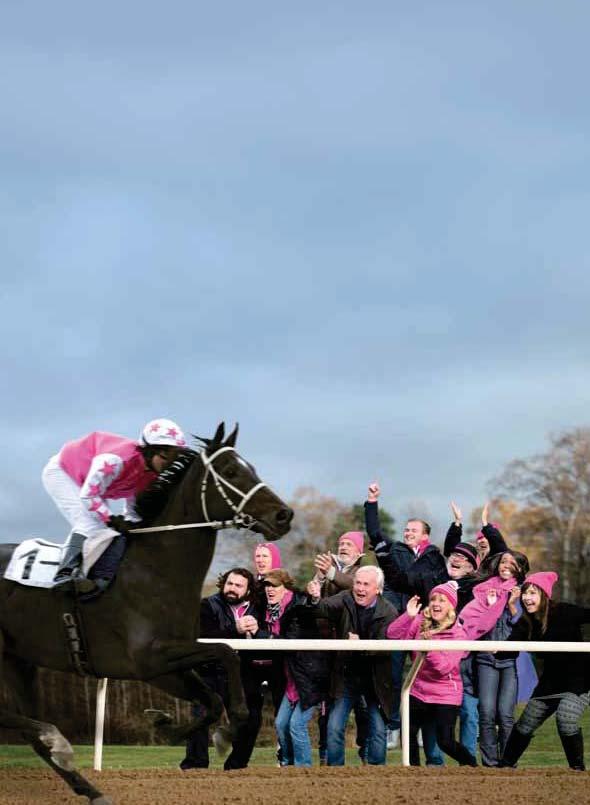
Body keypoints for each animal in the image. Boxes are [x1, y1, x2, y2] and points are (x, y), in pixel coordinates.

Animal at [0, 424, 294, 800]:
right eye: (230, 471)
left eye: (252, 468)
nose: (284, 515)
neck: (155, 569)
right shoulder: (148, 659)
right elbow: (225, 651)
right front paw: (185, 728)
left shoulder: (164, 668)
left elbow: (214, 695)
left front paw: (187, 727)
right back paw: (57, 740)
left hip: (18, 660)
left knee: (28, 732)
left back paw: (87, 786)